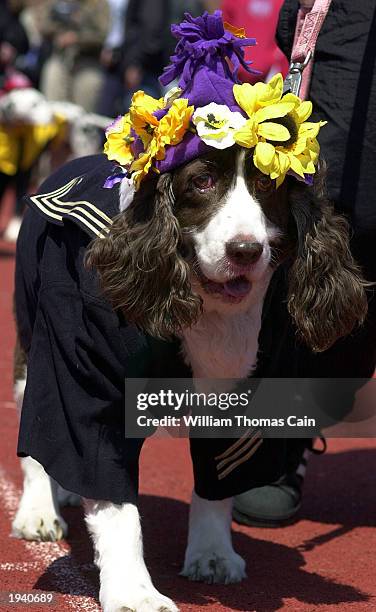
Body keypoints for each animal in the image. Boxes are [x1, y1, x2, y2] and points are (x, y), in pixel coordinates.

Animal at [12, 148, 368, 612]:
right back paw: (39, 511)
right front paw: (134, 592)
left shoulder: (246, 387)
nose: (246, 251)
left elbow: (221, 473)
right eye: (201, 182)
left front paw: (213, 554)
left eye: (267, 183)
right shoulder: (85, 366)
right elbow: (105, 480)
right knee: (38, 428)